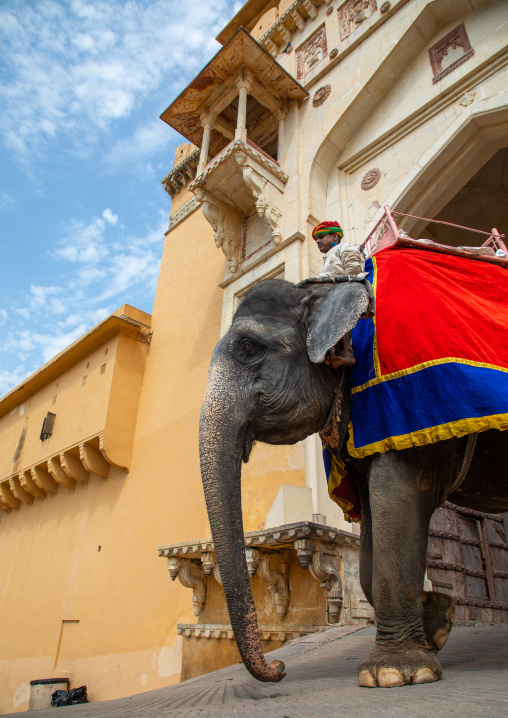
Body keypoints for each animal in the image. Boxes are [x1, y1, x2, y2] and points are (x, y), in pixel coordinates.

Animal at [199, 275, 508, 688]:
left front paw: (394, 673)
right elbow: (372, 529)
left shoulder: (401, 397)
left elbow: (394, 496)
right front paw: (438, 623)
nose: (279, 668)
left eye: (249, 347)